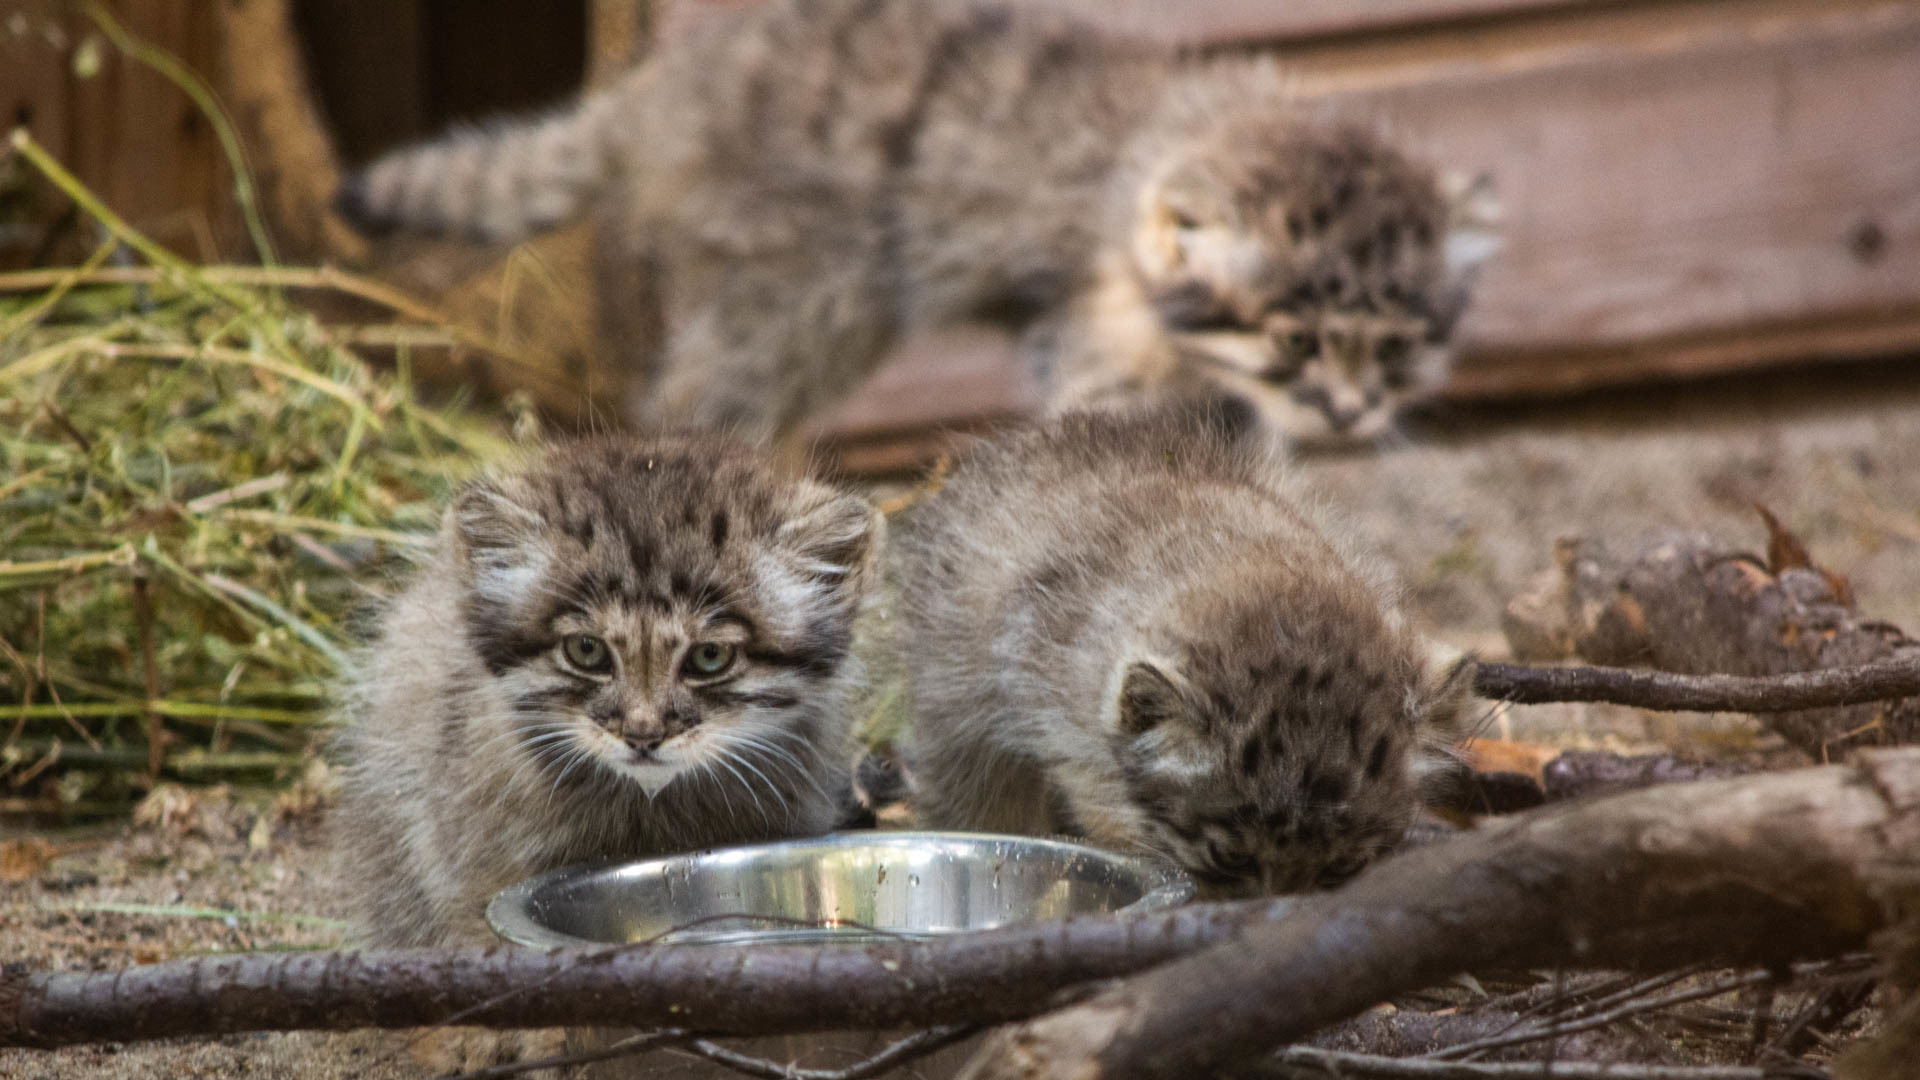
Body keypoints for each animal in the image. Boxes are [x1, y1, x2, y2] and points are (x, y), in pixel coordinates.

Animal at [330, 0, 1497, 449]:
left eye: (1398, 349)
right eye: (1297, 338)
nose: (1350, 411)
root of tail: (657, 91)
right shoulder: (1103, 345)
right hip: (805, 295)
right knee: (693, 404)